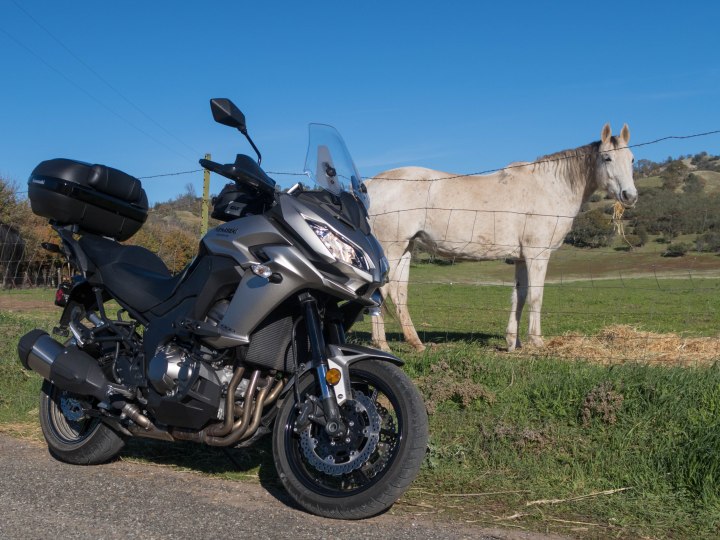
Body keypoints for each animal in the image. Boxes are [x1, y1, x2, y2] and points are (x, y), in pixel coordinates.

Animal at [366, 123, 637, 352]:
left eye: (632, 159)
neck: (548, 188)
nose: (630, 196)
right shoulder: (537, 255)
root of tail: (371, 184)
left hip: (406, 249)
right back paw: (383, 346)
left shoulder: (521, 258)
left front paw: (512, 343)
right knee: (381, 290)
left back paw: (416, 344)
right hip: (392, 249)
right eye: (607, 158)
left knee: (398, 293)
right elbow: (536, 296)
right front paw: (537, 342)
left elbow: (520, 297)